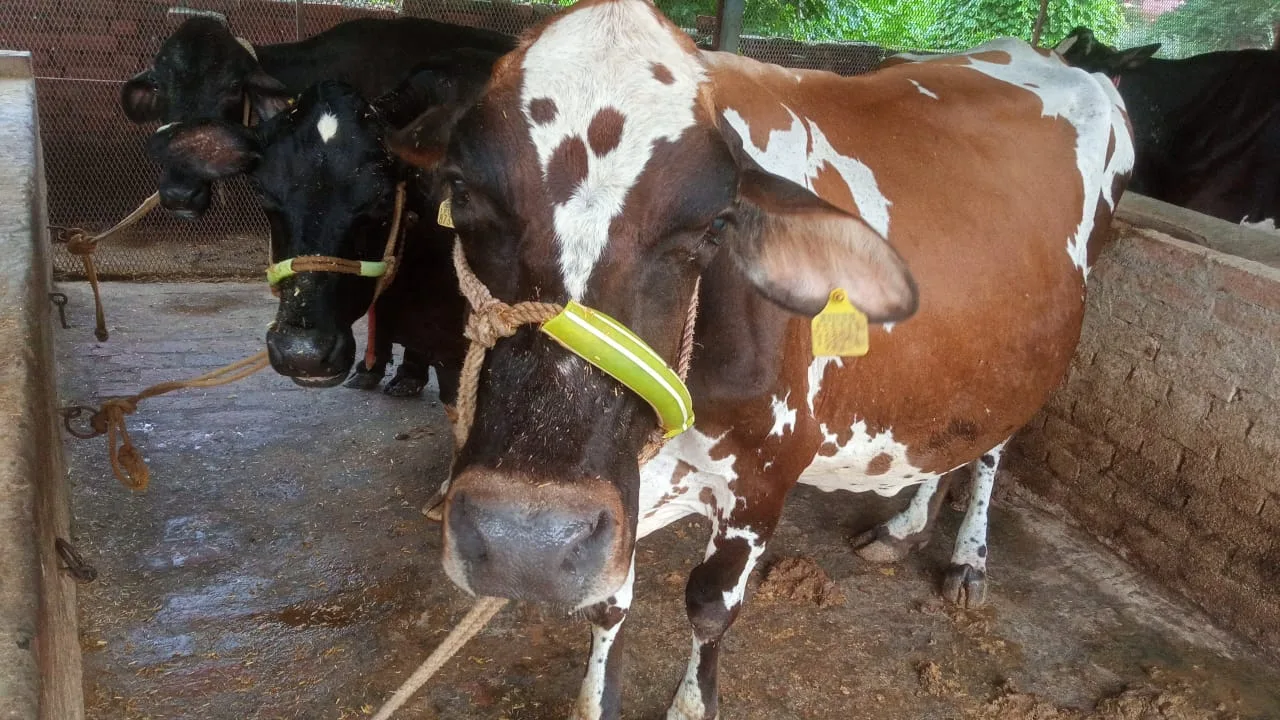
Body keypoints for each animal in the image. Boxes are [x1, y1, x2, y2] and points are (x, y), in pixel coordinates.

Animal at [390, 0, 1134, 716]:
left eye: (714, 226)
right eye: (461, 191)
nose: (526, 544)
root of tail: (1056, 57)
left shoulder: (763, 477)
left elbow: (710, 608)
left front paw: (692, 703)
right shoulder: (621, 497)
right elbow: (608, 603)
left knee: (993, 446)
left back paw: (967, 559)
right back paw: (904, 527)